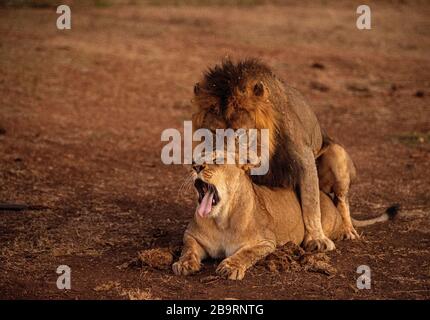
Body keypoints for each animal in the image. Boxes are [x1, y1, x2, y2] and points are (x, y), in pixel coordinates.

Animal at [171, 154, 396, 278]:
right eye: (195, 159)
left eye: (217, 160)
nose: (195, 166)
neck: (221, 220)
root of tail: (325, 195)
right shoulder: (192, 236)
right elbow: (188, 249)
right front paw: (184, 264)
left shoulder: (266, 241)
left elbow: (246, 253)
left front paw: (230, 267)